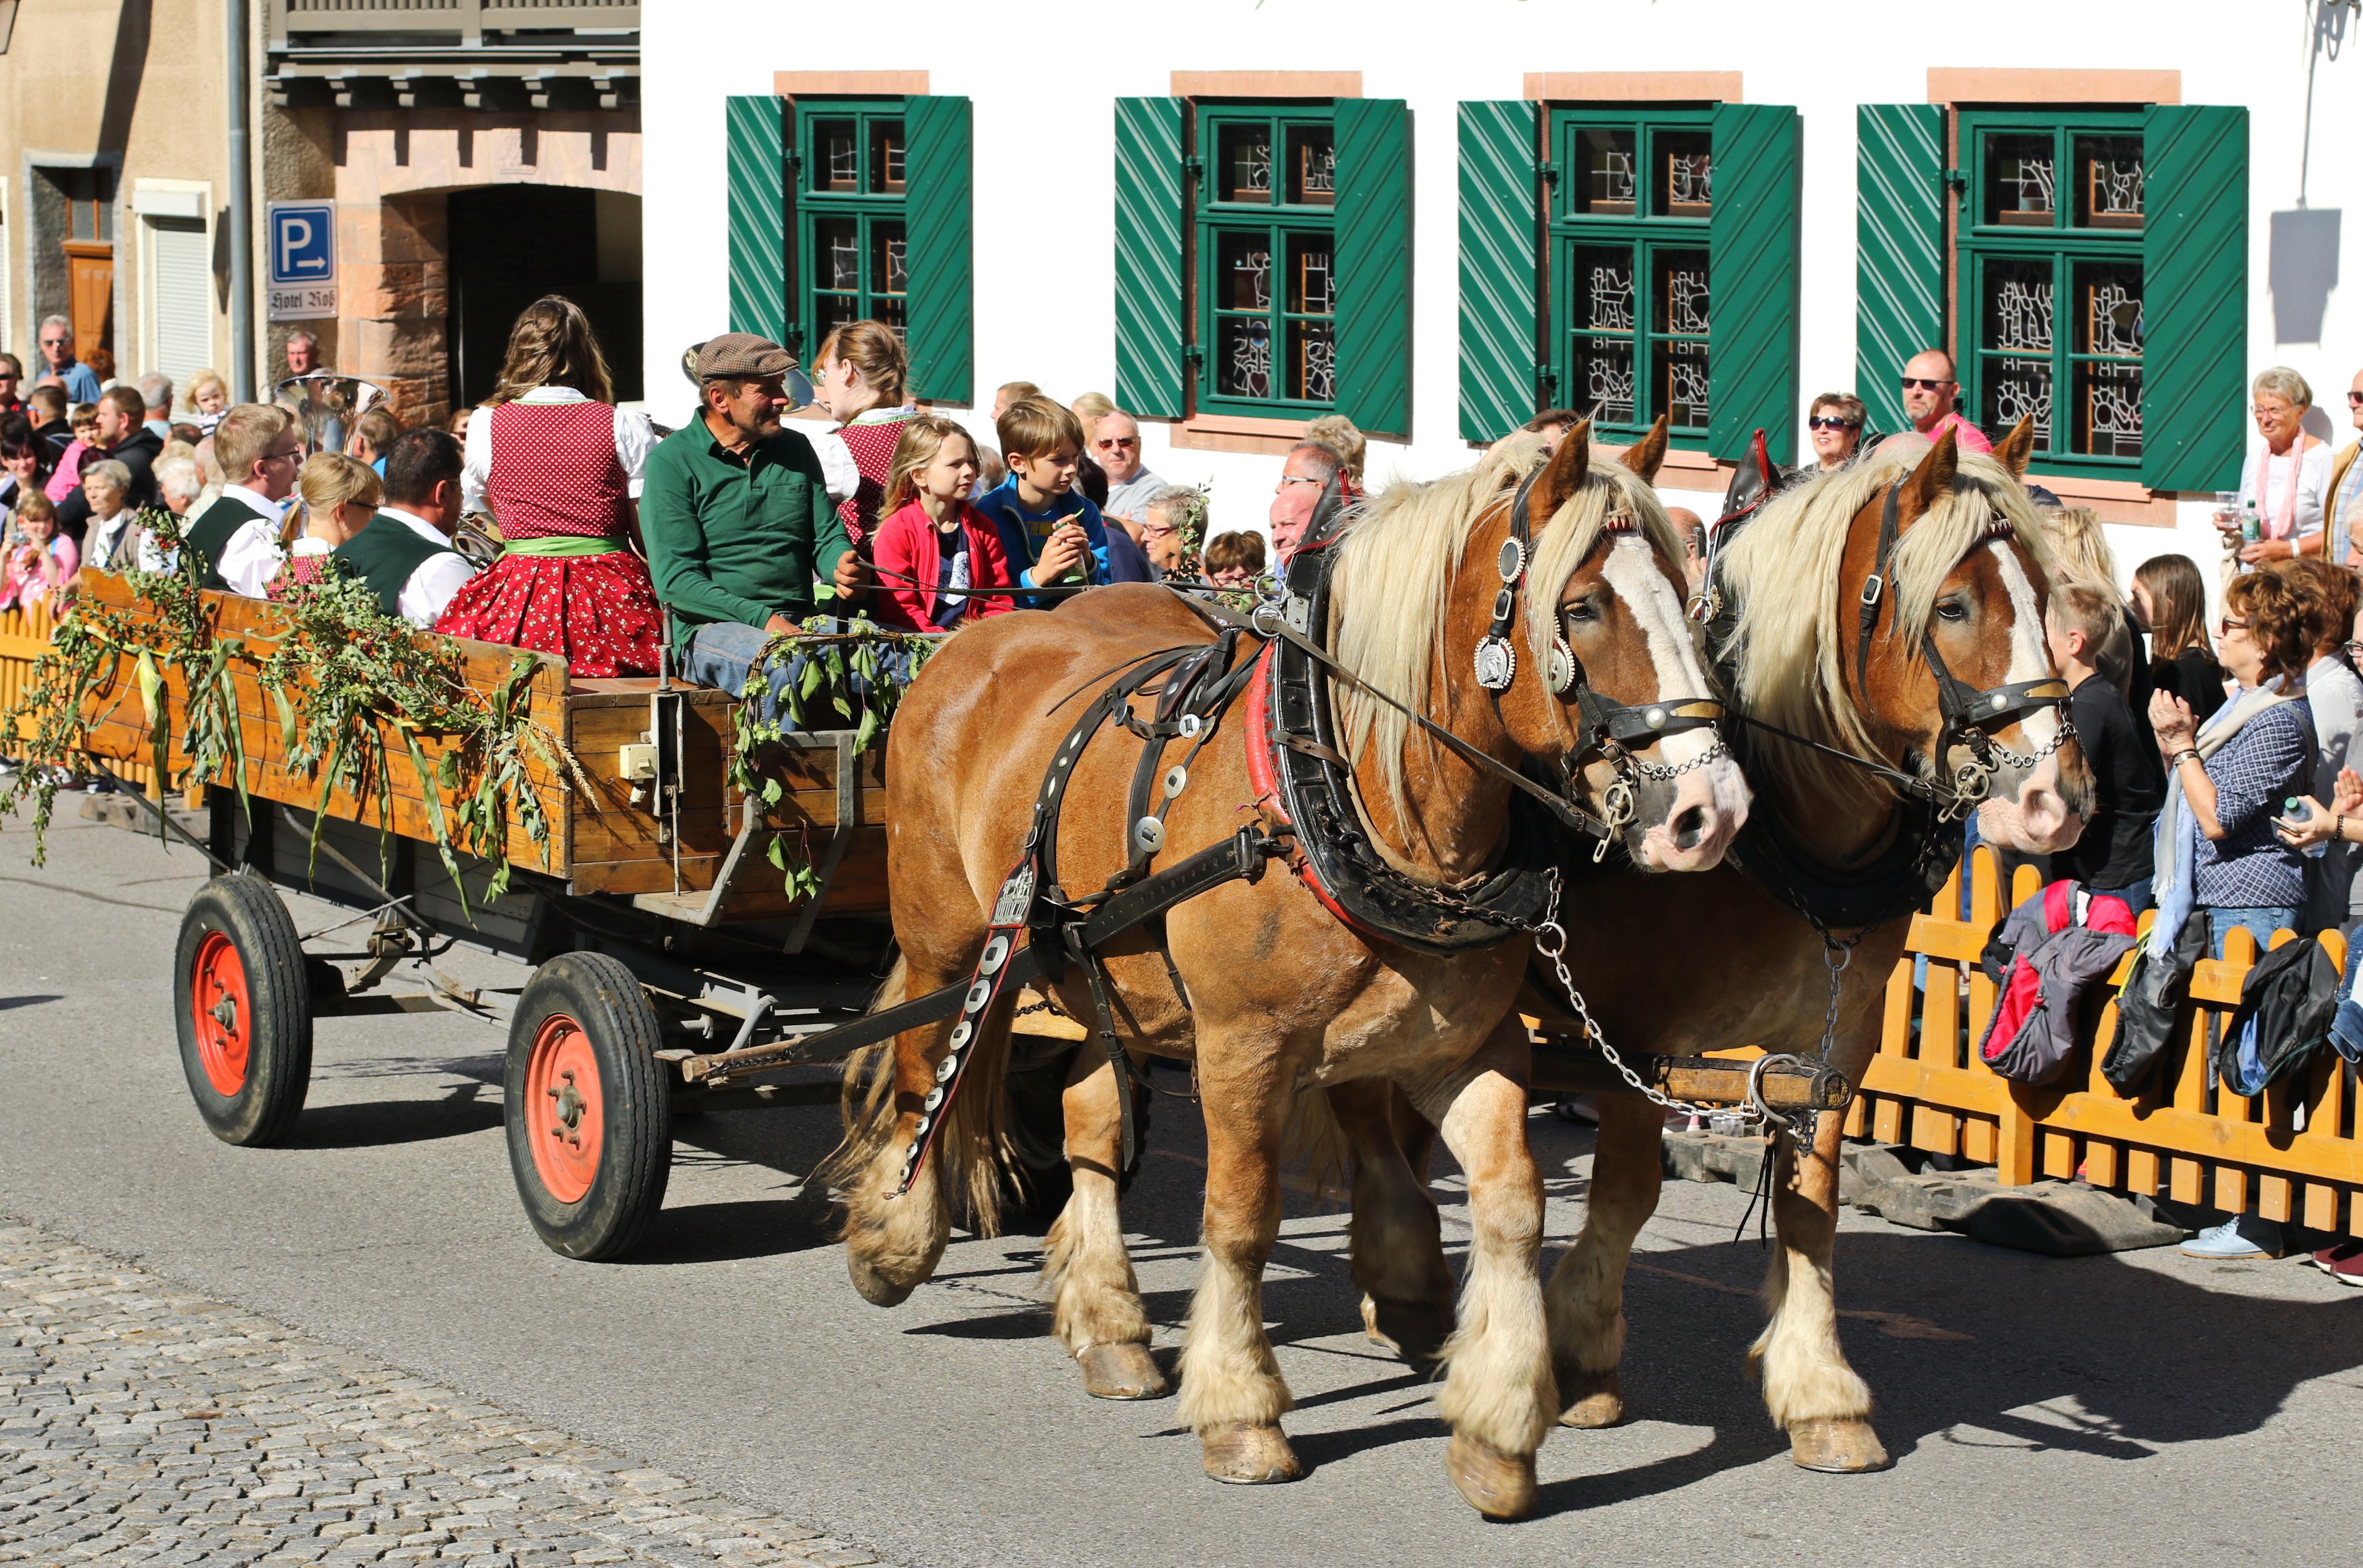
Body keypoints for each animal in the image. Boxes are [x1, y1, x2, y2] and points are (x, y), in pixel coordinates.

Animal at [836, 423, 1758, 1511]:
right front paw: (1243, 1410)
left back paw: (1110, 1324)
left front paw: (1496, 1427)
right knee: (919, 1068)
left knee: (1091, 1128)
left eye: (1686, 593)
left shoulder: (1468, 1049)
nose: (1712, 812)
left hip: (1109, 983)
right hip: (943, 933)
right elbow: (1239, 1219)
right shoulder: (1243, 1050)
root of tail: (982, 636)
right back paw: (893, 1235)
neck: (1357, 799)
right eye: (1582, 607)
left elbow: (1513, 1203)